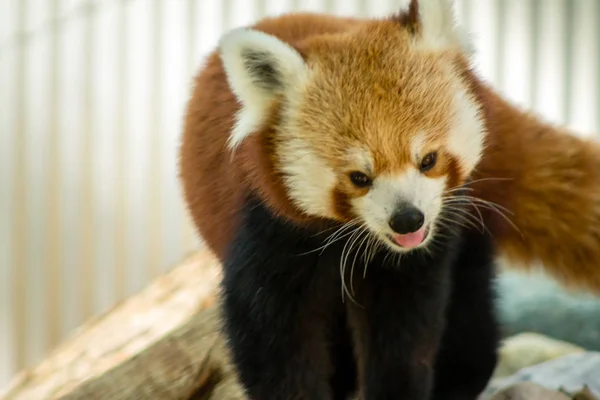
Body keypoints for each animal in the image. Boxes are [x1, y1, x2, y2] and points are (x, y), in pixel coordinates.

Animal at [180, 0, 500, 400]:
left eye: (428, 160)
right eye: (359, 178)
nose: (407, 220)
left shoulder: (416, 256)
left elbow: (405, 329)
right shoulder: (267, 231)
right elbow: (273, 340)